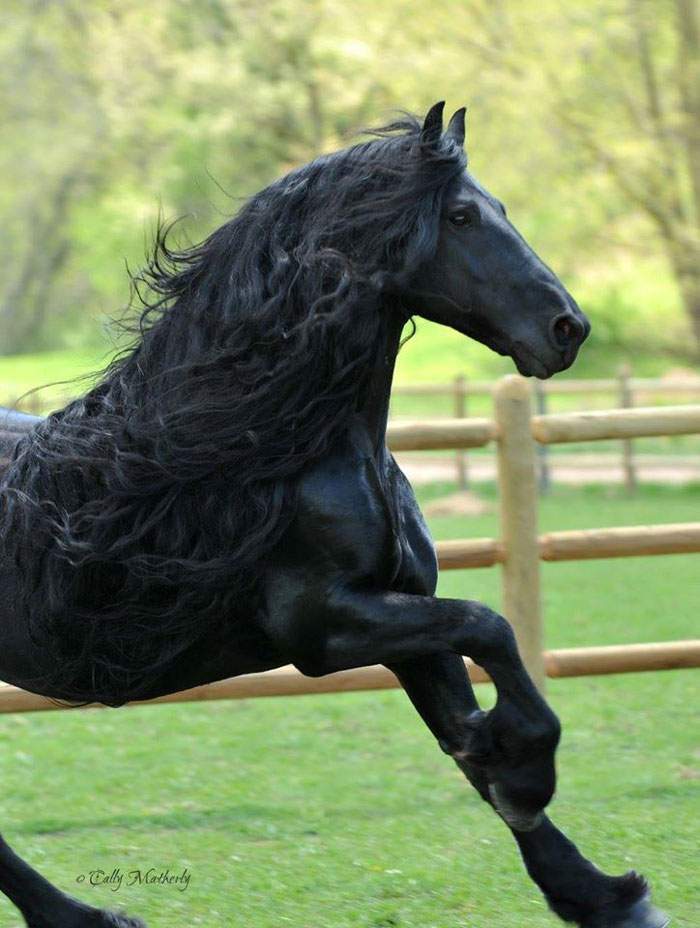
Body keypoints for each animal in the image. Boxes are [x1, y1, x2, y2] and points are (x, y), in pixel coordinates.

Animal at [0, 102, 668, 928]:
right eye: (461, 214)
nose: (567, 329)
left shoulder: (404, 613)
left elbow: (467, 725)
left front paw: (599, 894)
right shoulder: (324, 627)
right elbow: (492, 626)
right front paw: (526, 775)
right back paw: (81, 914)